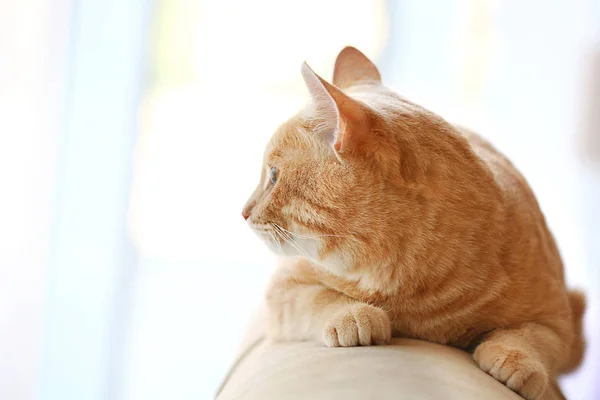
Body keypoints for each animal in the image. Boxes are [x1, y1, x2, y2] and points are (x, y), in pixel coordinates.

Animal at [241, 47, 584, 400]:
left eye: (273, 176)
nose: (244, 211)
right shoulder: (284, 289)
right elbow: (322, 298)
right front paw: (355, 315)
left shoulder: (557, 320)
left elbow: (533, 338)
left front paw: (516, 362)